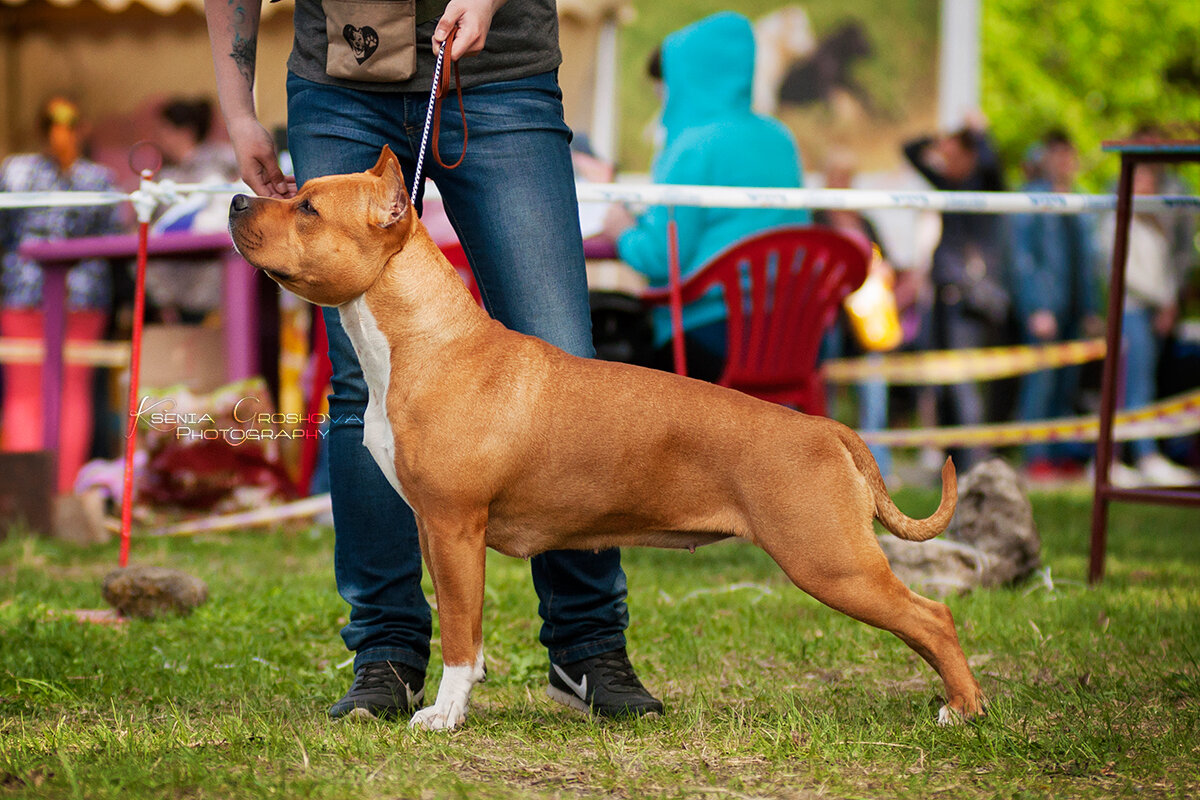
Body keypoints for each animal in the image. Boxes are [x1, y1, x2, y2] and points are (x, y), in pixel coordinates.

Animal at [226, 148, 984, 734]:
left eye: (307, 209)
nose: (235, 197)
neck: (426, 341)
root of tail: (827, 430)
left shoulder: (454, 528)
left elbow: (463, 636)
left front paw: (444, 715)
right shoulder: (432, 530)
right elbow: (457, 626)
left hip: (831, 563)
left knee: (933, 618)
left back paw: (966, 710)